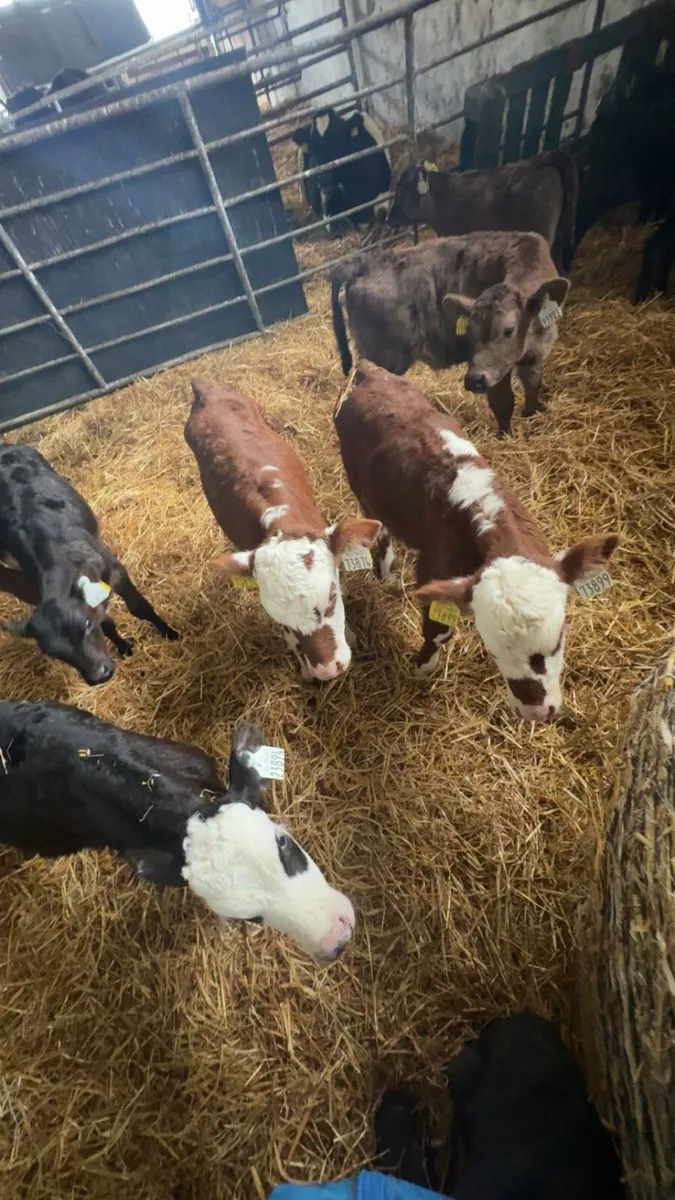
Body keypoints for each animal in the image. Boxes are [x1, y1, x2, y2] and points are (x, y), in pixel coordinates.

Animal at [0, 443, 178, 685]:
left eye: (85, 624)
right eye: (53, 653)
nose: (99, 675)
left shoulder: (115, 571)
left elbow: (139, 608)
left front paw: (170, 633)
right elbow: (106, 622)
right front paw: (124, 648)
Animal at [331, 232, 570, 437]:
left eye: (509, 329)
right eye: (469, 331)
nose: (474, 380)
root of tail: (365, 262)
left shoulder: (534, 356)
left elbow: (532, 386)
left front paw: (532, 414)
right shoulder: (496, 373)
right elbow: (503, 403)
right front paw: (504, 437)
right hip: (383, 358)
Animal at [334, 362, 618, 720]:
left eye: (558, 639)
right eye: (493, 649)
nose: (536, 711)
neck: (483, 505)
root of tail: (369, 368)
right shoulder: (436, 567)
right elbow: (437, 629)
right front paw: (422, 667)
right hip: (360, 486)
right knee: (379, 522)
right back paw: (383, 567)